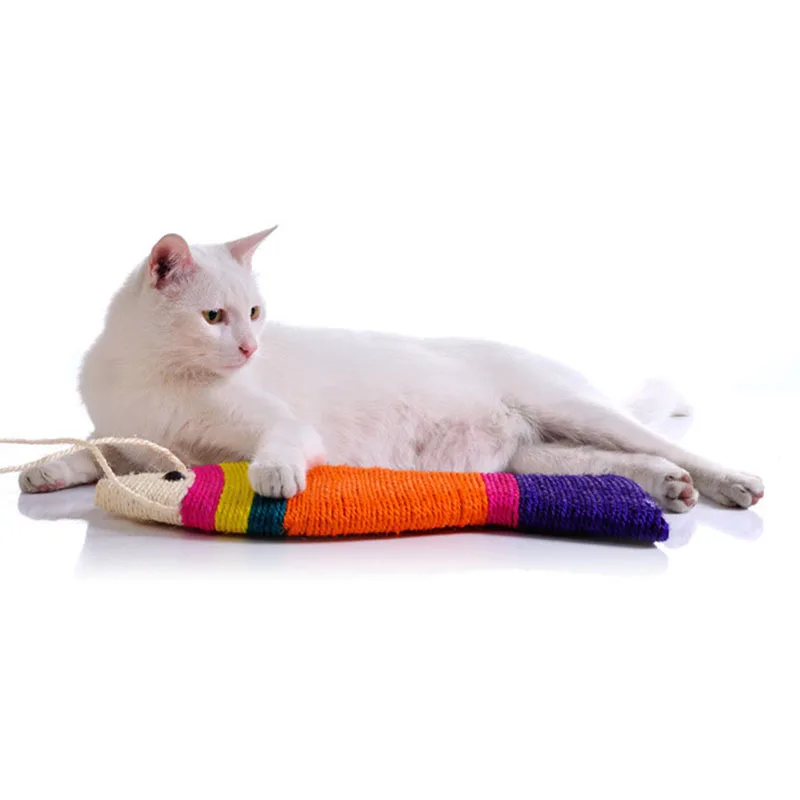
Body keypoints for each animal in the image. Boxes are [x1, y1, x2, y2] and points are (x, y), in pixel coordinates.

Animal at [20, 228, 764, 512]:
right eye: (213, 317)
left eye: (255, 312)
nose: (251, 349)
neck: (150, 372)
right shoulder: (132, 439)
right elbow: (93, 451)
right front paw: (43, 471)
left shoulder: (279, 424)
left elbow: (277, 444)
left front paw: (275, 476)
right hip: (537, 457)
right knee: (619, 462)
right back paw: (670, 487)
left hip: (571, 407)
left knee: (668, 445)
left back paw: (731, 482)